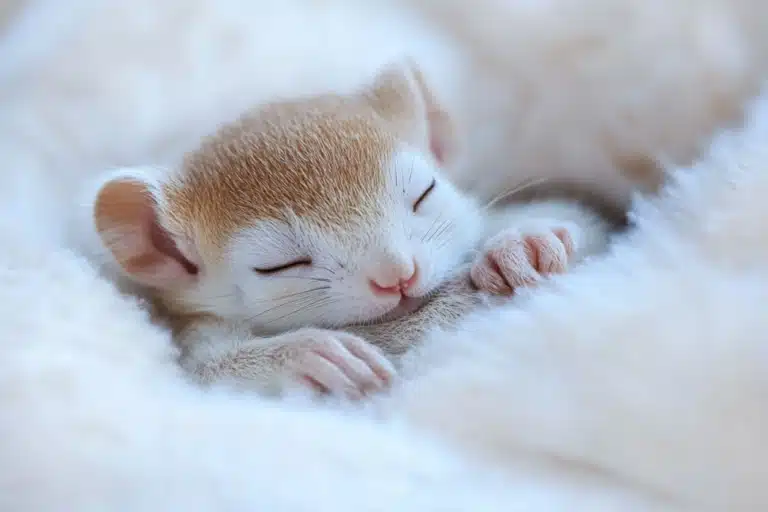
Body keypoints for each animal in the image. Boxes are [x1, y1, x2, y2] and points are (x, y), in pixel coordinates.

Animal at [87, 61, 608, 400]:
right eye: (279, 265)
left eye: (424, 194)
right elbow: (206, 375)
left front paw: (519, 245)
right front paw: (307, 353)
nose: (396, 275)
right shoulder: (198, 328)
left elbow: (582, 221)